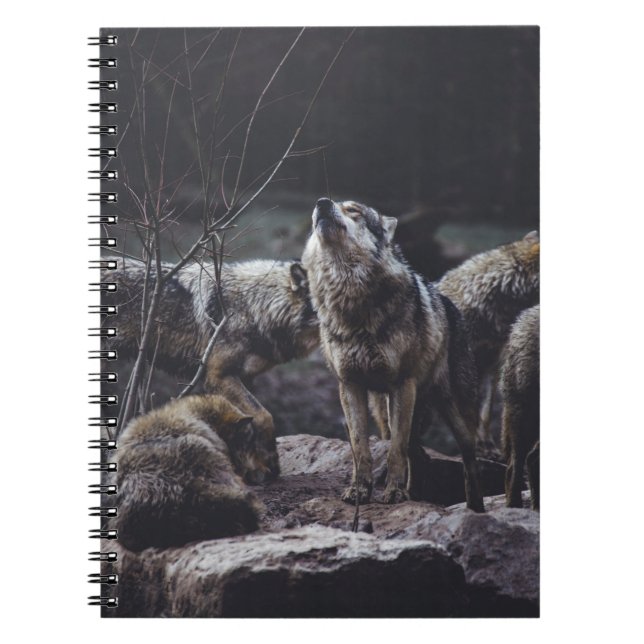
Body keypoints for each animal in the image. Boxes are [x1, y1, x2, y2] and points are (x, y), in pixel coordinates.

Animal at [103, 258, 319, 481]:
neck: (254, 307)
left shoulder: (244, 378)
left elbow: (247, 424)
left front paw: (255, 468)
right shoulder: (218, 376)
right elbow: (264, 416)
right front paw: (271, 463)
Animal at [302, 198, 484, 511]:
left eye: (353, 210)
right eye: (330, 203)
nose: (322, 203)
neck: (350, 300)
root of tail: (450, 305)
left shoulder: (402, 384)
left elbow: (394, 452)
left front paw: (394, 494)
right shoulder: (349, 385)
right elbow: (360, 448)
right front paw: (359, 491)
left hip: (454, 415)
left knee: (468, 460)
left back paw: (475, 508)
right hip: (387, 412)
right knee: (418, 455)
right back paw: (414, 494)